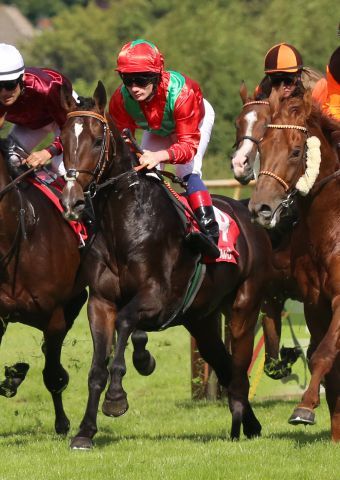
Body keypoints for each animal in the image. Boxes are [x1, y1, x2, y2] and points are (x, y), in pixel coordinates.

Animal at [59, 81, 274, 450]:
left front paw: (118, 395)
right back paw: (249, 423)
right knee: (224, 364)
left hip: (243, 309)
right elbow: (98, 366)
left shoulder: (159, 297)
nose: (72, 201)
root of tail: (250, 215)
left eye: (98, 140)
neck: (126, 225)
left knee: (238, 369)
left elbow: (126, 322)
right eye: (62, 138)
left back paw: (241, 424)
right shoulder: (100, 302)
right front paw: (85, 431)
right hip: (202, 320)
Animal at [248, 87, 340, 442]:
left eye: (297, 151)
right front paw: (334, 427)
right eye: (262, 148)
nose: (260, 208)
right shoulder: (315, 304)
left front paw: (304, 407)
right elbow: (321, 358)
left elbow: (324, 353)